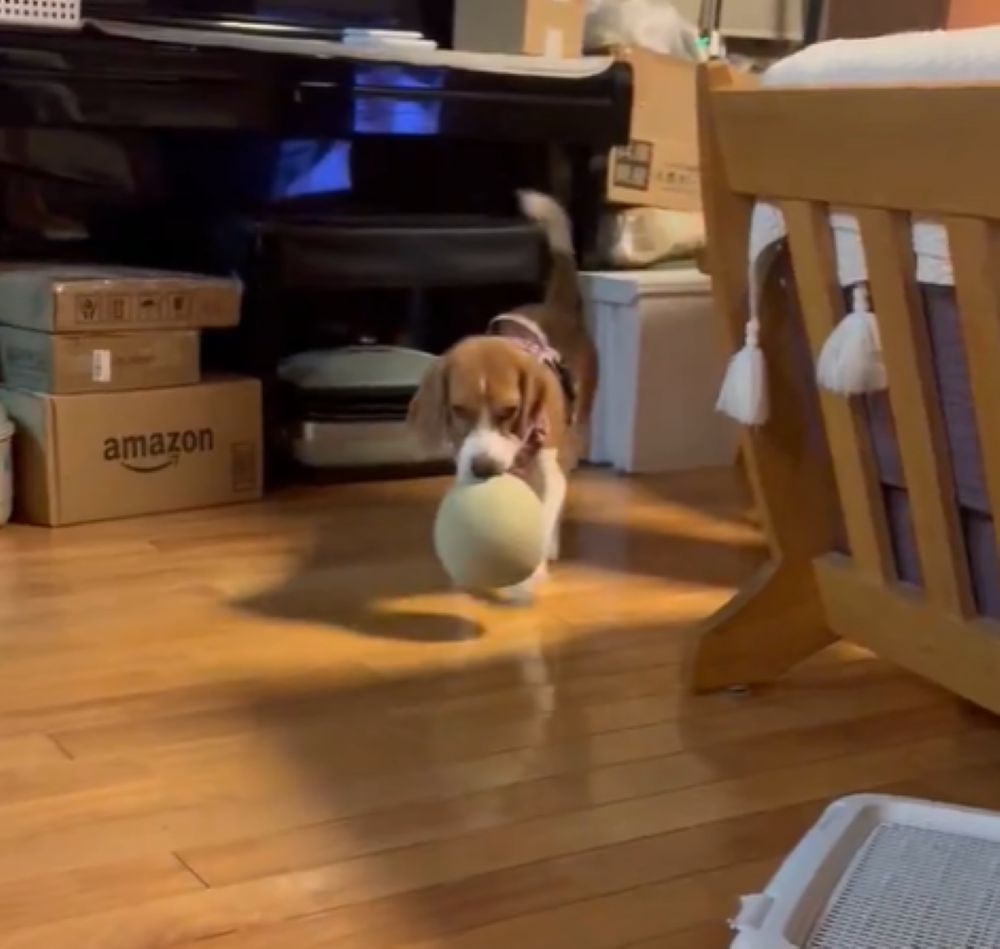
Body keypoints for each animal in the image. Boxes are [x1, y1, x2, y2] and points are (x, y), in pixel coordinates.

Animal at [407, 191, 597, 597]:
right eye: (458, 410)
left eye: (510, 410)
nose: (484, 469)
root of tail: (554, 306)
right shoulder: (464, 459)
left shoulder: (549, 468)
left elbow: (545, 511)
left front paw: (530, 573)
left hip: (574, 439)